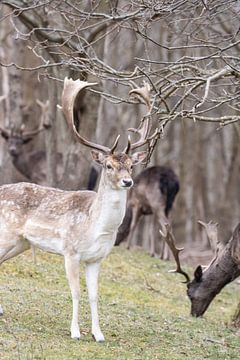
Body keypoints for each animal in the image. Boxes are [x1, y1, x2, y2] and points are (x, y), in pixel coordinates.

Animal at [0, 79, 156, 344]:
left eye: (131, 166)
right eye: (108, 165)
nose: (127, 182)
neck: (95, 227)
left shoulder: (96, 259)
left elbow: (94, 295)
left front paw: (98, 334)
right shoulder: (70, 252)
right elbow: (75, 292)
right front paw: (75, 332)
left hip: (20, 243)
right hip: (6, 235)